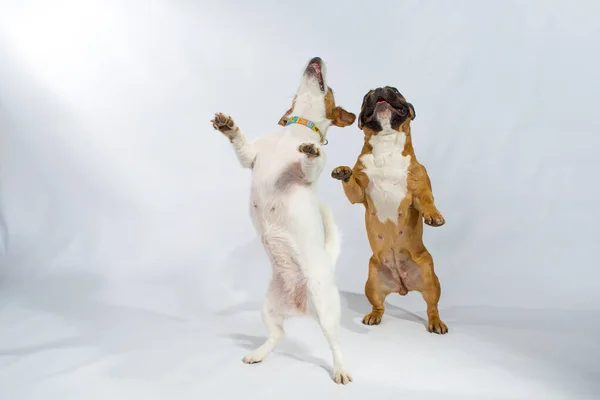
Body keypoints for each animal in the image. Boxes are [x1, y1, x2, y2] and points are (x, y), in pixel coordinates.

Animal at [211, 57, 356, 384]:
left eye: (330, 88)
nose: (316, 58)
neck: (294, 131)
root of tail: (299, 307)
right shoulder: (250, 156)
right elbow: (241, 145)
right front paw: (229, 126)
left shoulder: (307, 174)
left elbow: (311, 162)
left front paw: (312, 150)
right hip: (268, 309)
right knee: (278, 335)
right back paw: (258, 353)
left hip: (326, 309)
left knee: (336, 343)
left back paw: (341, 369)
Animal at [330, 86, 448, 334]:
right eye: (366, 97)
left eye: (395, 91)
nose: (379, 90)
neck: (386, 147)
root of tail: (402, 285)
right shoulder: (359, 193)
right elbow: (352, 184)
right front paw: (343, 171)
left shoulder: (420, 189)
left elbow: (427, 201)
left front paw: (434, 215)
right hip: (372, 281)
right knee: (379, 306)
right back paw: (373, 316)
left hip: (430, 278)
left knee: (431, 306)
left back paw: (436, 322)